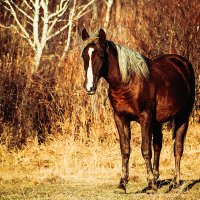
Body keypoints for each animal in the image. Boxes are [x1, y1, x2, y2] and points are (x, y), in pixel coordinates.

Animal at [80, 28, 195, 193]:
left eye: (101, 56)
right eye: (84, 56)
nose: (89, 87)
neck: (128, 82)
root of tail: (183, 63)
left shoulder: (145, 118)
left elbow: (145, 149)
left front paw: (151, 185)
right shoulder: (120, 118)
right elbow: (125, 149)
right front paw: (122, 184)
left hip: (183, 117)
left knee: (178, 148)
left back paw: (175, 183)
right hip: (157, 122)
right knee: (158, 146)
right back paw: (157, 177)